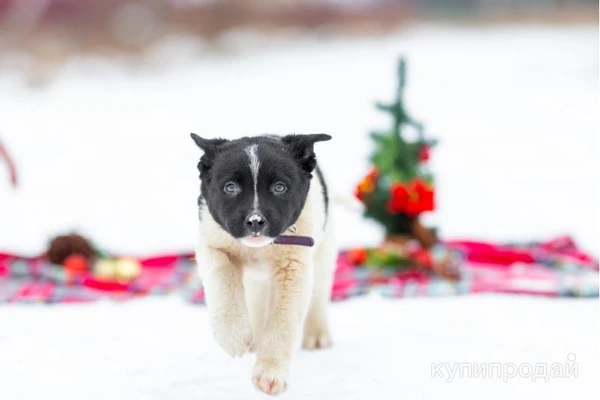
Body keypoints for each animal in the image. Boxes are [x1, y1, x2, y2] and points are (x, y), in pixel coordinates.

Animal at [191, 133, 336, 396]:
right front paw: (233, 336)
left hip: (324, 252)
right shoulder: (211, 244)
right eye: (230, 187)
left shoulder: (293, 268)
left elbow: (282, 322)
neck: (258, 250)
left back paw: (316, 335)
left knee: (319, 293)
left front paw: (270, 375)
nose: (255, 221)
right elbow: (222, 277)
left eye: (280, 187)